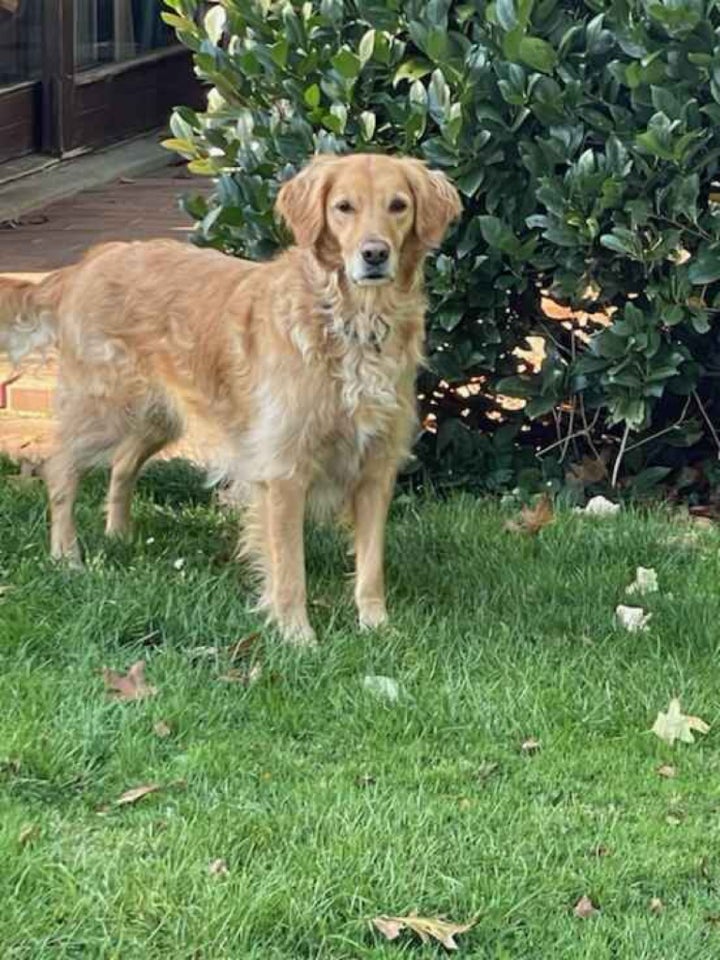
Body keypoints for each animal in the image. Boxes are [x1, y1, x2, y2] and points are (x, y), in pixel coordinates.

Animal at [0, 152, 462, 644]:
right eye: (344, 207)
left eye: (398, 206)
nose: (374, 254)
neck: (351, 319)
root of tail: (93, 259)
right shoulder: (283, 470)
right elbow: (289, 569)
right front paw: (298, 636)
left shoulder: (376, 466)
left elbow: (371, 565)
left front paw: (377, 627)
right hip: (104, 409)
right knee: (59, 469)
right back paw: (67, 556)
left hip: (157, 415)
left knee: (122, 465)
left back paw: (119, 535)